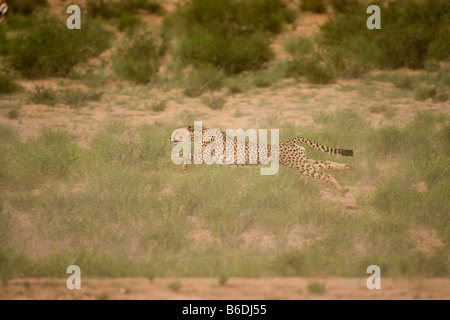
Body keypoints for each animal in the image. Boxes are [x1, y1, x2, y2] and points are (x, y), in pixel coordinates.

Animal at [171, 125, 356, 194]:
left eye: (177, 131)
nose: (171, 137)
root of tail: (288, 141)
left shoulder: (204, 156)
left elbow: (183, 154)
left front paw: (177, 159)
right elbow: (187, 156)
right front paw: (184, 166)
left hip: (301, 165)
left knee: (325, 174)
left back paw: (341, 190)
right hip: (302, 161)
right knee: (326, 164)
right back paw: (348, 168)